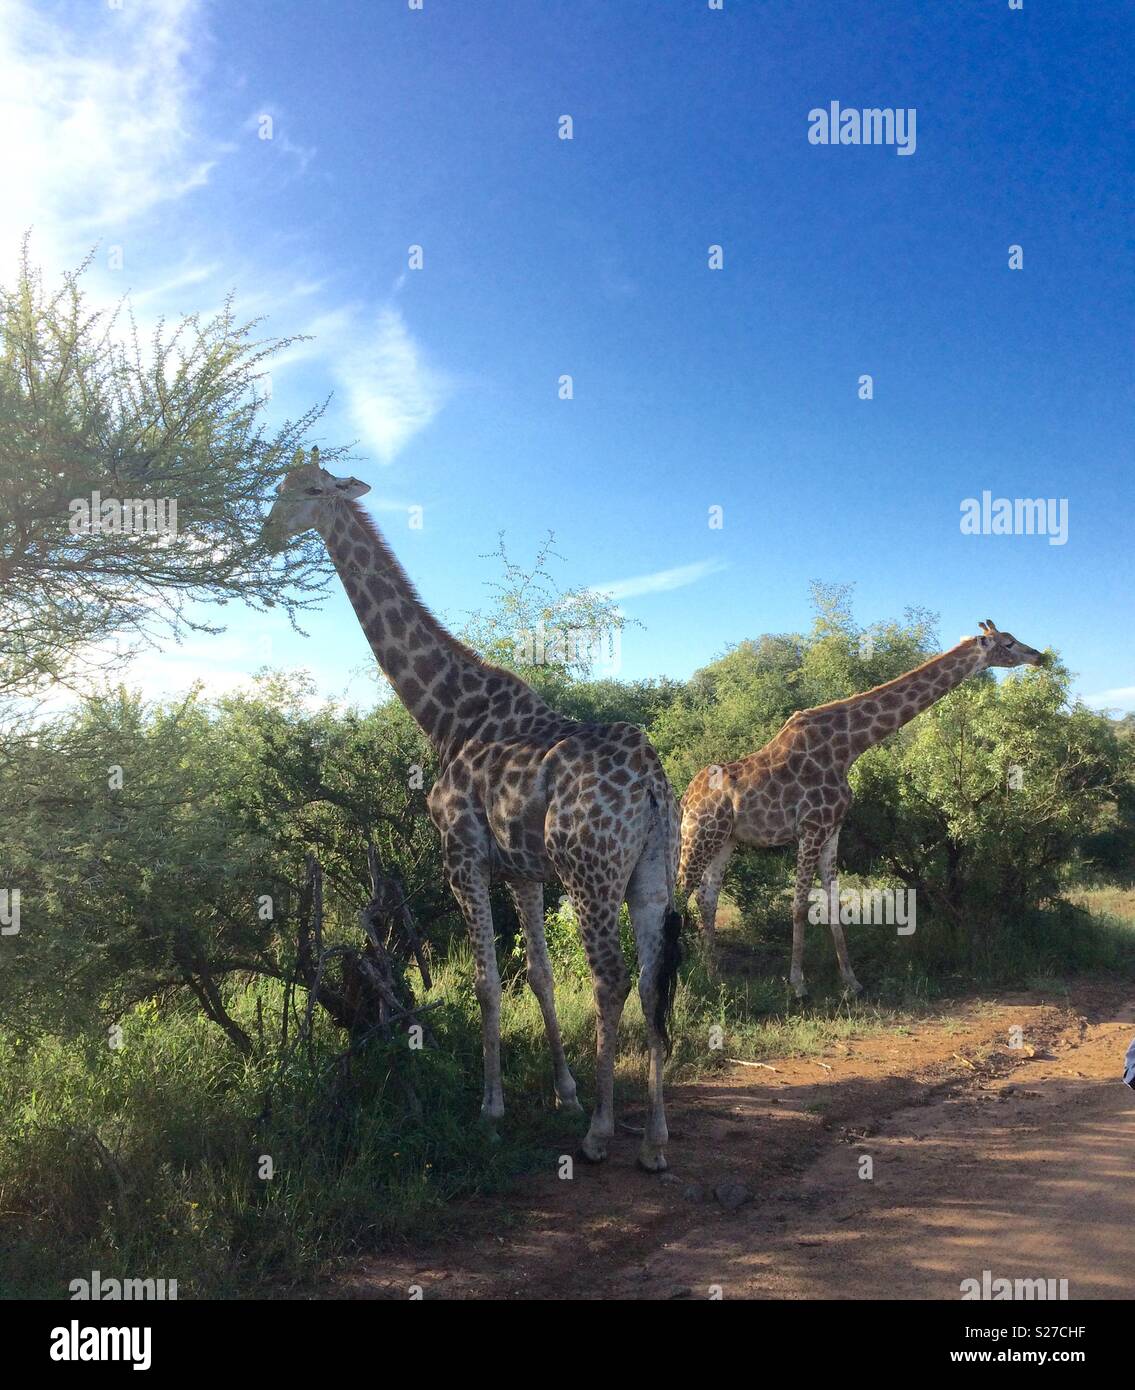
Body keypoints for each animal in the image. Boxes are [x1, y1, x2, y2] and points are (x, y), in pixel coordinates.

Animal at [262, 451, 683, 1171]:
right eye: (278, 488)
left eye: (311, 490)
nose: (265, 534)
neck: (444, 716)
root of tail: (653, 784)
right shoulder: (522, 871)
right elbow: (538, 976)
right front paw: (563, 1092)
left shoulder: (461, 856)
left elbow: (487, 984)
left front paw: (491, 1112)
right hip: (650, 875)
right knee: (654, 982)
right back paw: (653, 1140)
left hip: (592, 877)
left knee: (612, 980)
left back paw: (602, 1135)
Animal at [678, 623, 1046, 995]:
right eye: (1008, 643)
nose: (1039, 656)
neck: (849, 748)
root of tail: (686, 797)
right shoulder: (811, 828)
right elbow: (799, 904)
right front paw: (798, 985)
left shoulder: (832, 829)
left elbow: (833, 903)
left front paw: (851, 982)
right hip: (699, 834)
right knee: (680, 891)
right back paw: (684, 979)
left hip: (725, 840)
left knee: (707, 898)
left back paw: (714, 975)